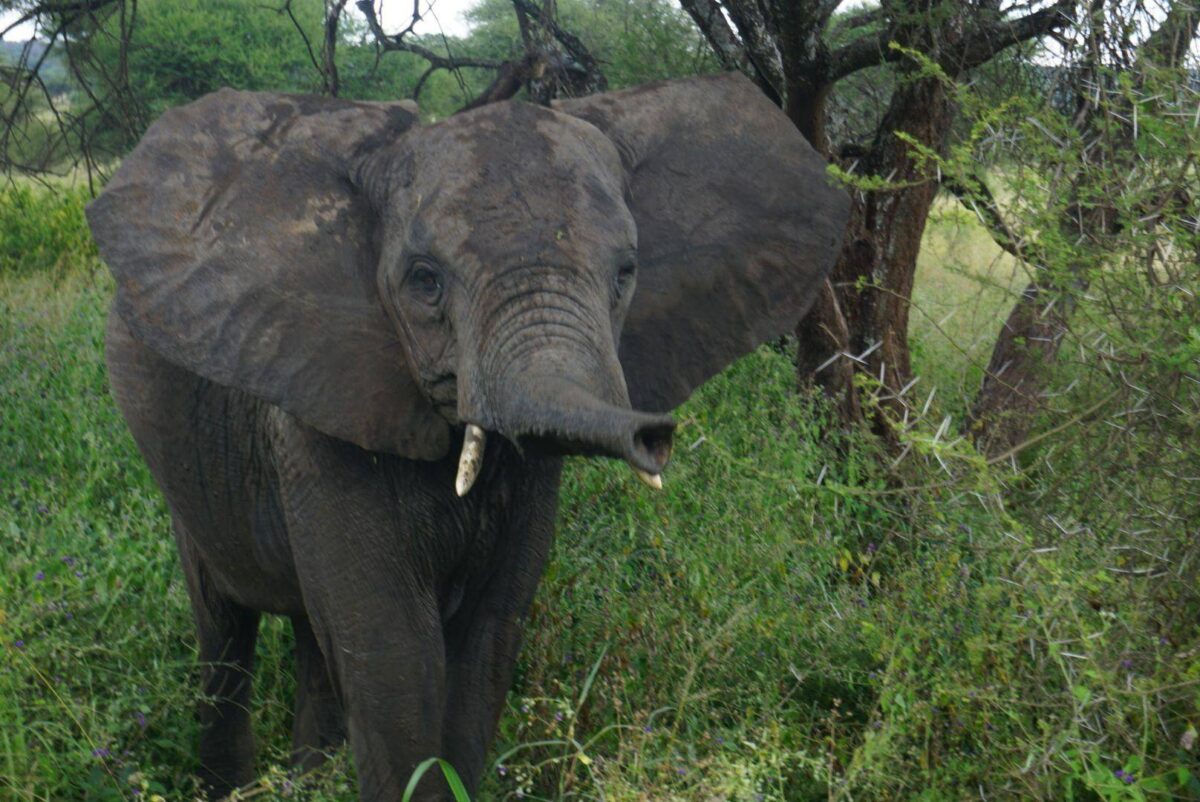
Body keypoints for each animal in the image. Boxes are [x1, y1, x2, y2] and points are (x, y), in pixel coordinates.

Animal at [87, 72, 849, 800]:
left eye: (626, 273)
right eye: (425, 281)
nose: (657, 435)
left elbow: (487, 636)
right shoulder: (321, 408)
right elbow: (392, 649)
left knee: (310, 633)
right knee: (224, 630)